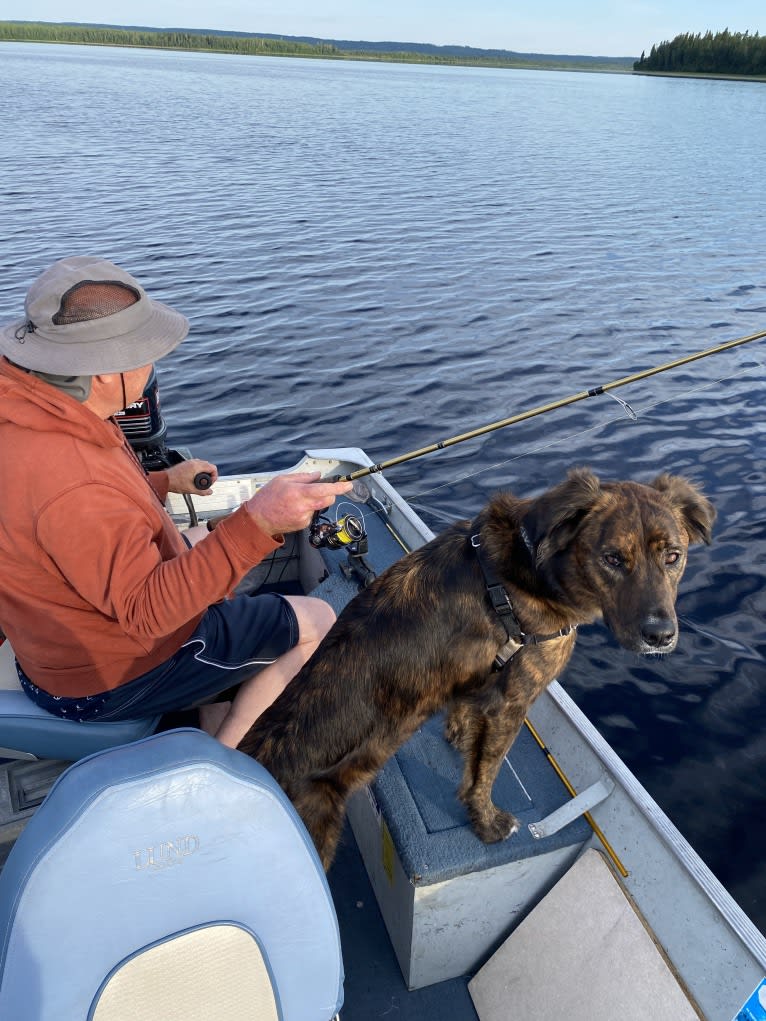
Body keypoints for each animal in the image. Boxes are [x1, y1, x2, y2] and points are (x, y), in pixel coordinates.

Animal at [238, 469, 714, 869]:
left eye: (674, 556)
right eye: (613, 558)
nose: (660, 635)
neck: (533, 569)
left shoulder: (476, 685)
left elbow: (467, 729)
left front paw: (459, 735)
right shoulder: (512, 701)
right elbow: (485, 773)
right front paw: (488, 824)